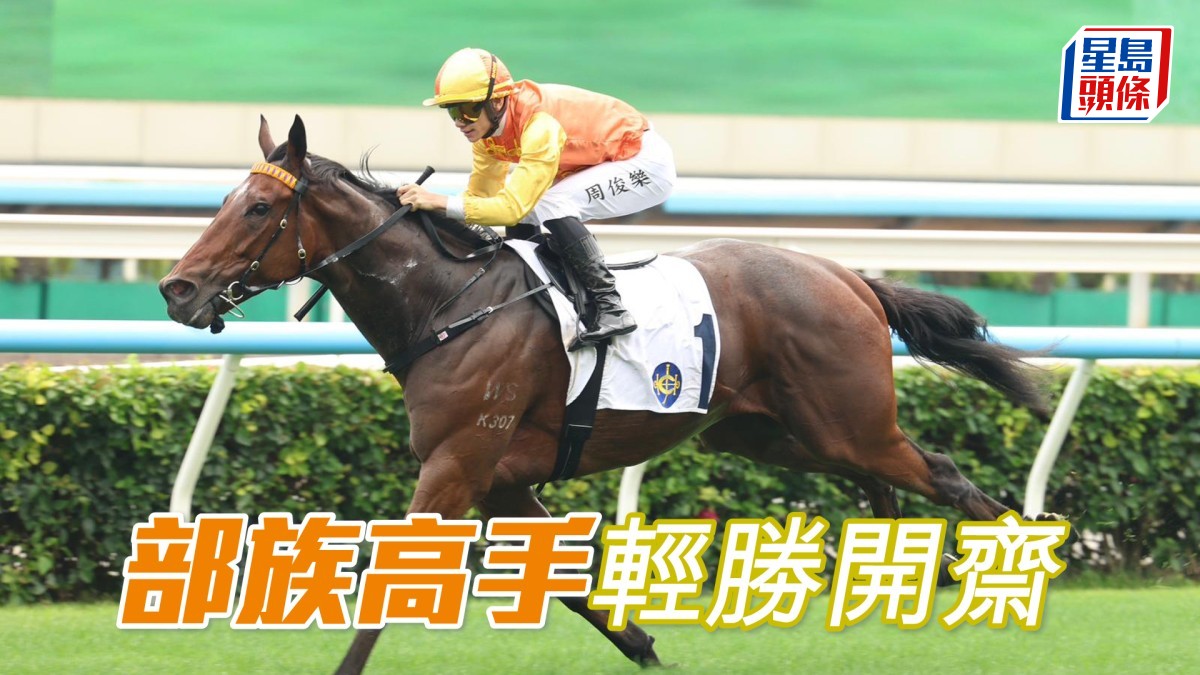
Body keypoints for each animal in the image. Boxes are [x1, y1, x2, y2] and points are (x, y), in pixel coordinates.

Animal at [159, 115, 1048, 673]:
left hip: (846, 420)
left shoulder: (458, 463)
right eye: (227, 201)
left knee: (941, 474)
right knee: (881, 483)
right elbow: (568, 579)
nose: (178, 288)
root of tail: (847, 274)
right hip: (767, 431)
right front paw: (645, 644)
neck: (448, 305)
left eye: (260, 207)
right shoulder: (501, 477)